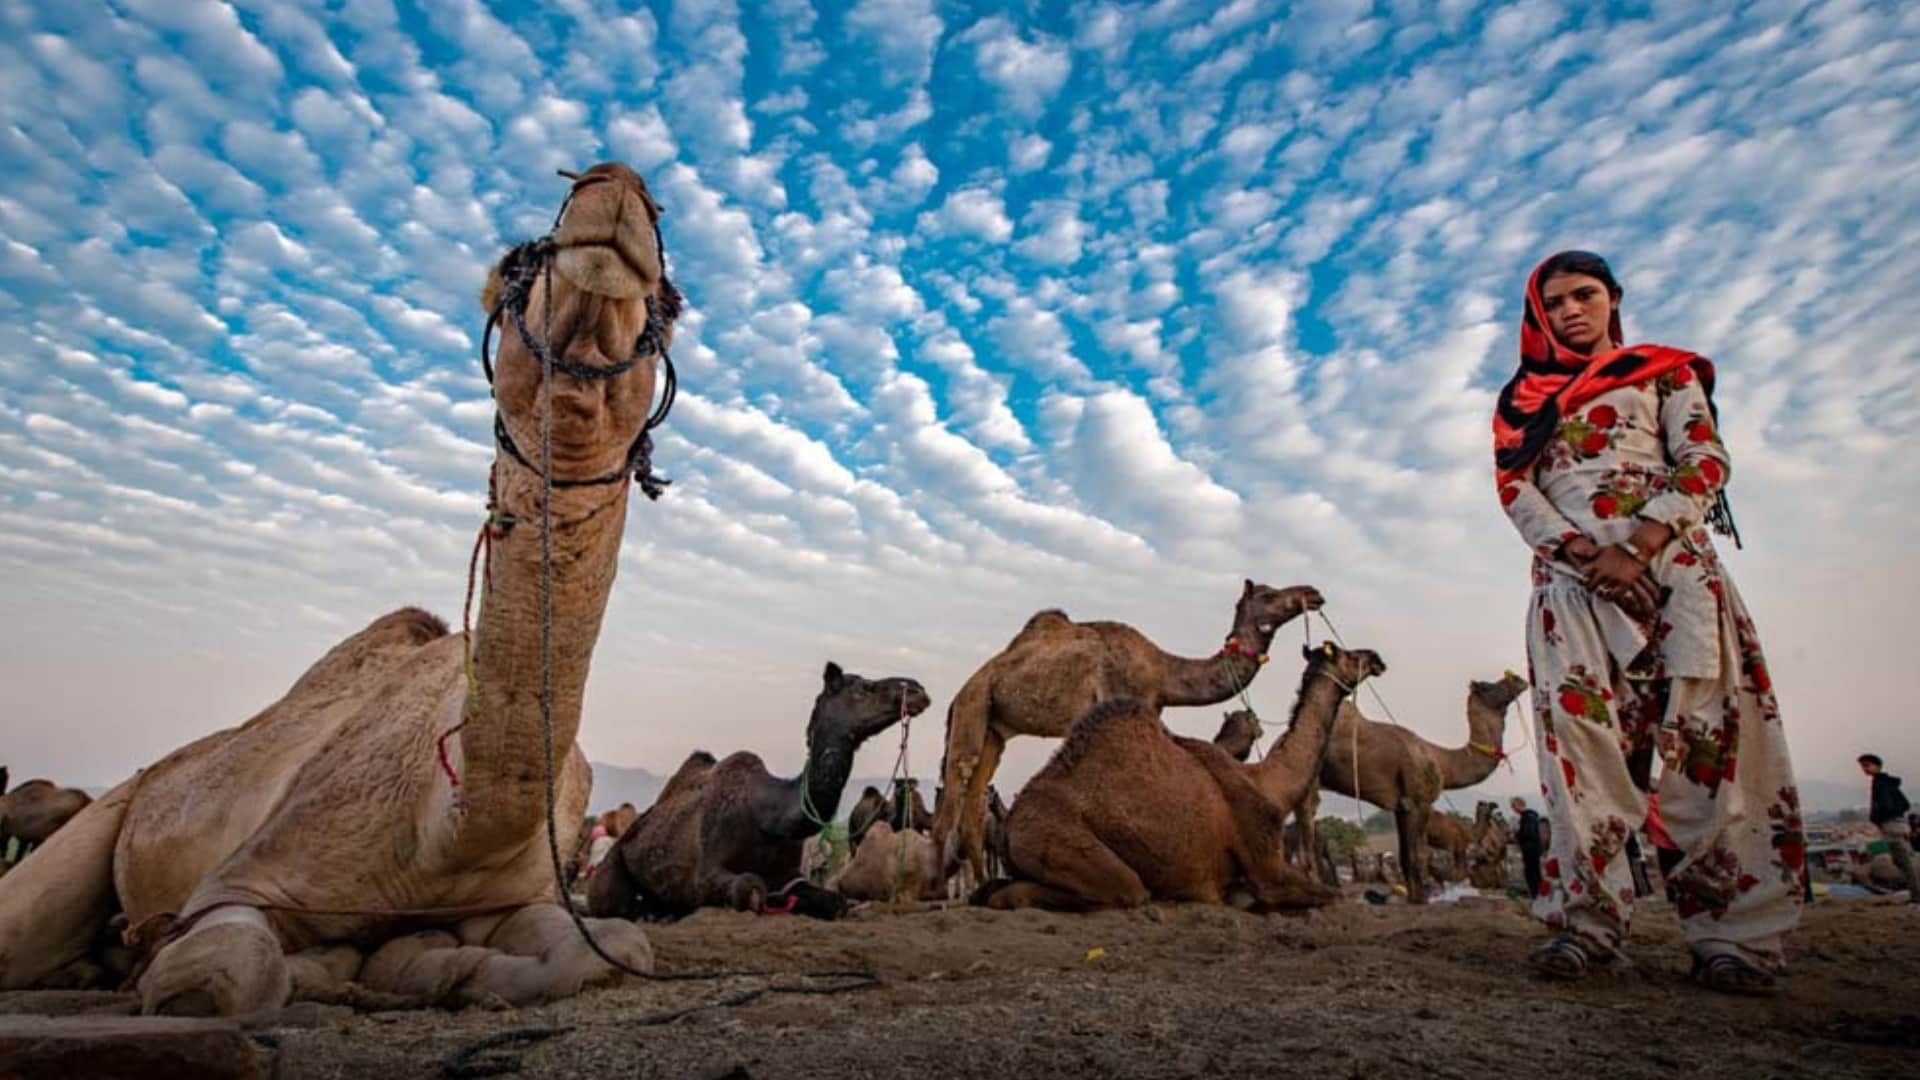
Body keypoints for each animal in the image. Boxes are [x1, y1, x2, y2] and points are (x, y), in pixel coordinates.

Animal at [0, 163, 680, 1015]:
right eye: (511, 265)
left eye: (672, 307)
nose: (614, 185)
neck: (450, 824)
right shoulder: (244, 881)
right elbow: (214, 977)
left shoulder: (518, 895)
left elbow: (602, 952)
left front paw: (417, 967)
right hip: (107, 810)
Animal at [586, 663, 930, 920]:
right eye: (863, 688)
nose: (917, 690)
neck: (769, 817)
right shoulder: (705, 873)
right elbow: (750, 888)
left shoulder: (791, 877)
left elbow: (836, 902)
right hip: (612, 867)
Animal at [933, 580, 1325, 882]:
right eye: (1268, 594)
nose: (1313, 593)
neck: (1162, 672)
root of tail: (959, 693)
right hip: (973, 706)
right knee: (954, 789)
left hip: (994, 730)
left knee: (973, 803)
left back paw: (980, 888)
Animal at [976, 642, 1385, 912]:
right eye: (1348, 655)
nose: (1376, 658)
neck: (1269, 786)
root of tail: (1011, 827)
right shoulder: (1266, 864)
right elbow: (1330, 895)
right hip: (1064, 842)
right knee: (1120, 890)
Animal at [1295, 671, 1527, 905]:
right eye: (1487, 686)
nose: (1517, 679)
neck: (1442, 760)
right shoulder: (1420, 801)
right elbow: (1419, 856)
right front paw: (1423, 900)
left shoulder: (1402, 806)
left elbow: (1406, 856)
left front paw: (1414, 899)